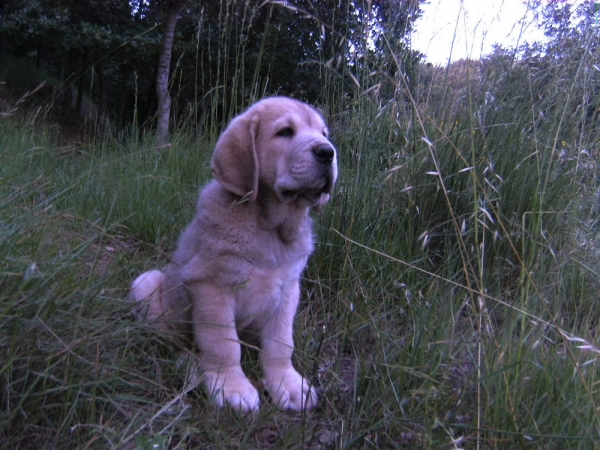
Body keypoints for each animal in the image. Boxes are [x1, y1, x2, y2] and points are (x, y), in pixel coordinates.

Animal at [132, 96, 338, 414]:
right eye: (285, 132)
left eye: (324, 134)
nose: (328, 152)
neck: (269, 226)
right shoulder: (211, 287)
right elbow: (223, 344)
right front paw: (231, 388)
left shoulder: (288, 289)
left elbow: (281, 343)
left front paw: (288, 383)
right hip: (146, 285)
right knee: (175, 342)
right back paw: (191, 366)